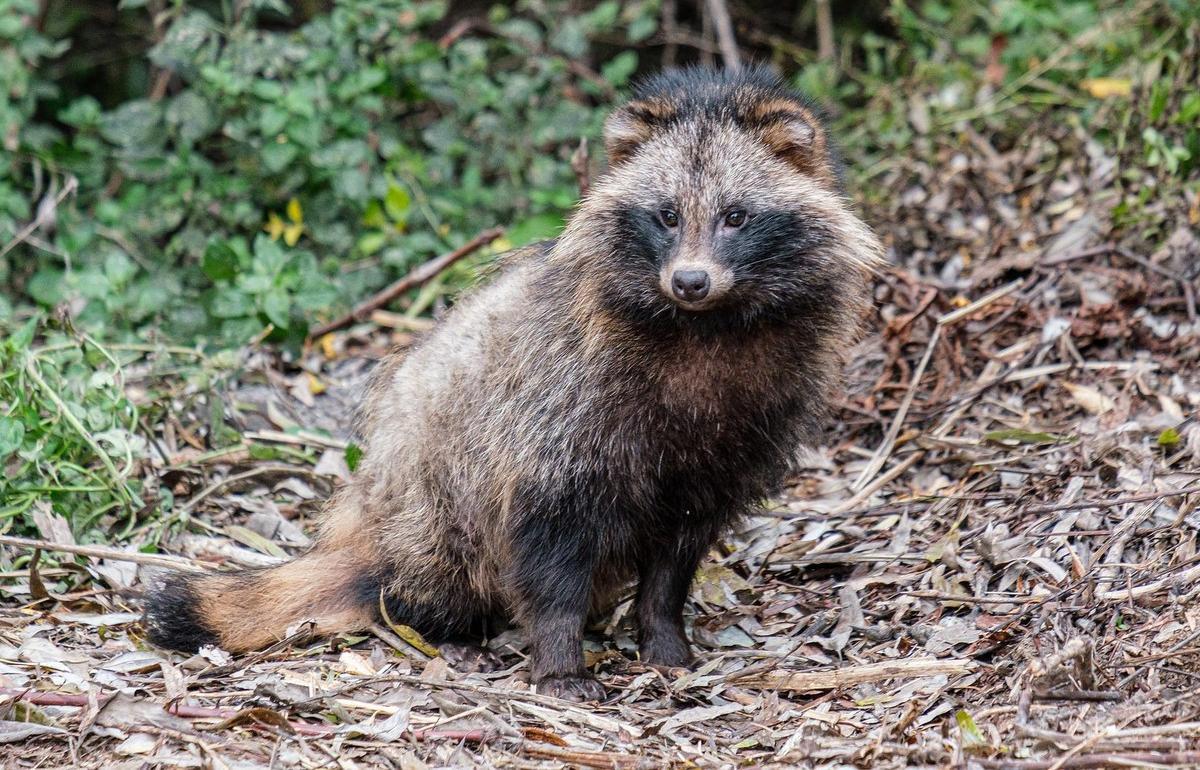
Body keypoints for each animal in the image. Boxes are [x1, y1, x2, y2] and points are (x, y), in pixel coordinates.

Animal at [145, 67, 888, 700]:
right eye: (668, 215)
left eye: (736, 216)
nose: (690, 280)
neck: (706, 329)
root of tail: (363, 534)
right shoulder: (557, 418)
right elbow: (548, 548)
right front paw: (560, 660)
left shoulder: (739, 431)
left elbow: (678, 552)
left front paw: (663, 635)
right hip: (427, 496)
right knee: (437, 563)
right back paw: (436, 623)